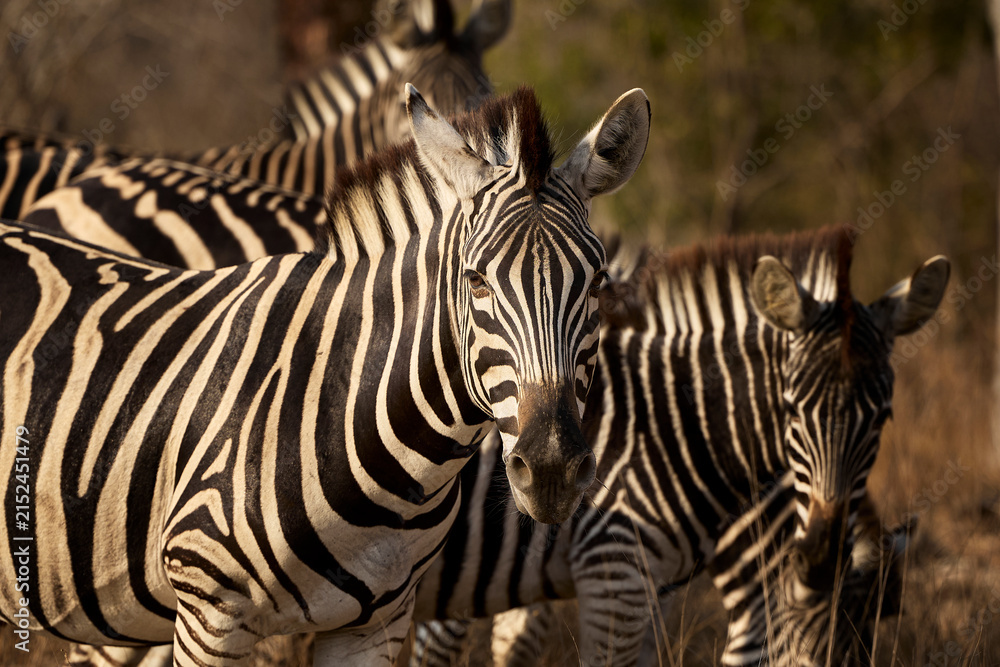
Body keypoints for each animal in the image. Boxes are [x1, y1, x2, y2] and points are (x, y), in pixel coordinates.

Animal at [400, 227, 948, 666]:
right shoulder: (604, 571)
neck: (672, 426)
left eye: (883, 418)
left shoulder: (649, 590)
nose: (820, 559)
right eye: (792, 410)